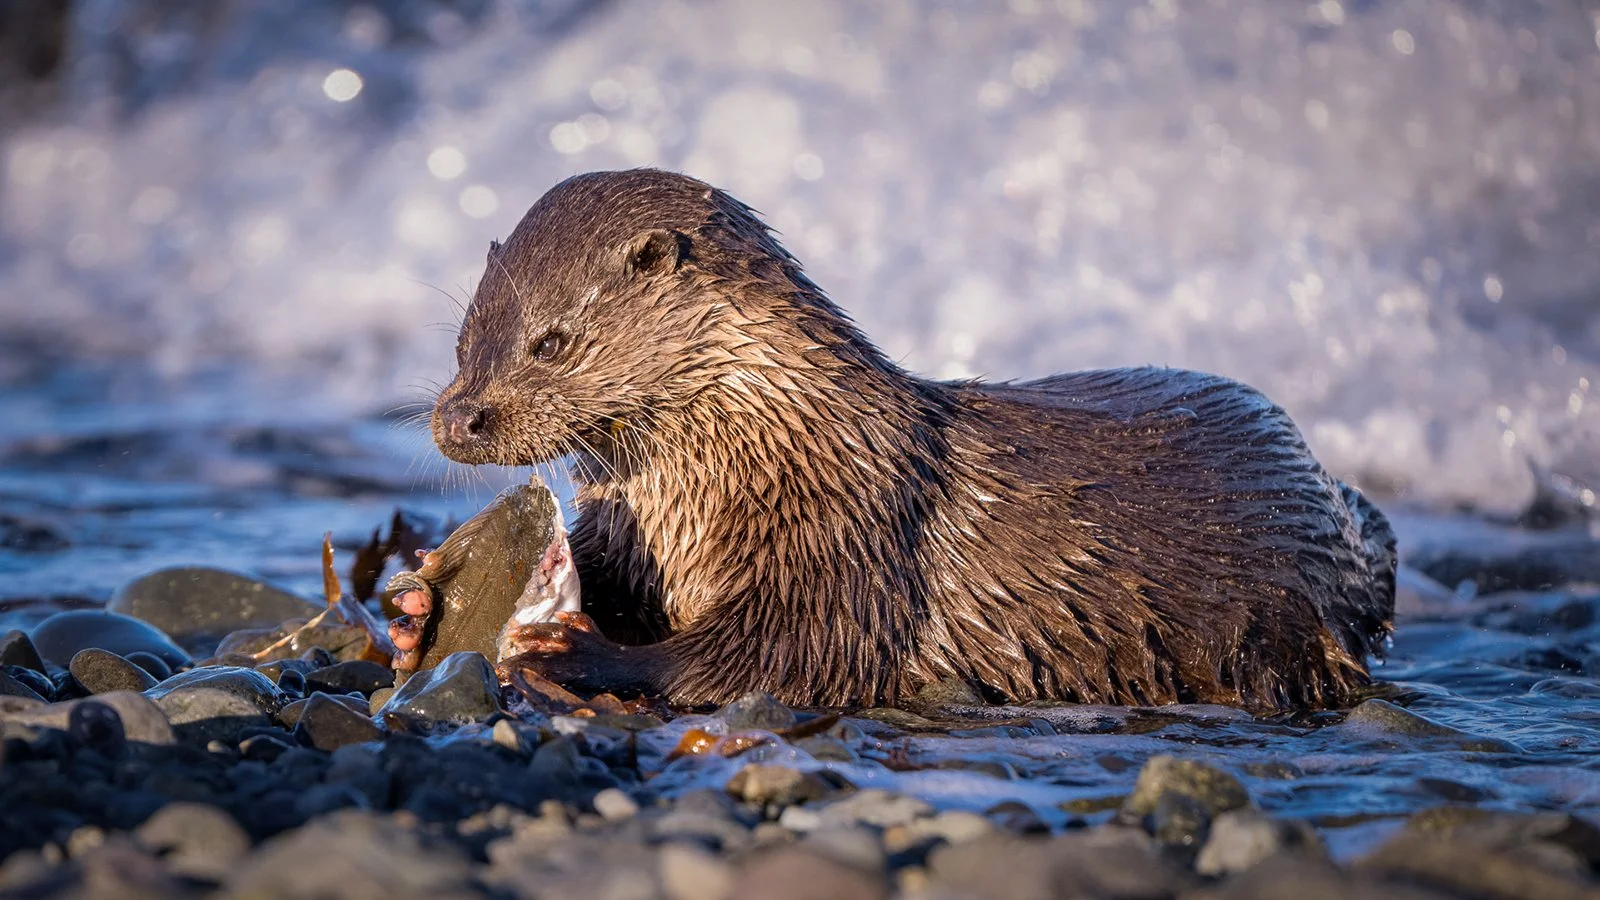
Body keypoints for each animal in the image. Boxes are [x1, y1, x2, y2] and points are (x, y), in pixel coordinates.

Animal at [406, 168, 1396, 712]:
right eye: (463, 342)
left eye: (551, 342)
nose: (459, 416)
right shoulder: (630, 529)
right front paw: (416, 606)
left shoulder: (854, 537)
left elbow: (787, 653)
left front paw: (581, 653)